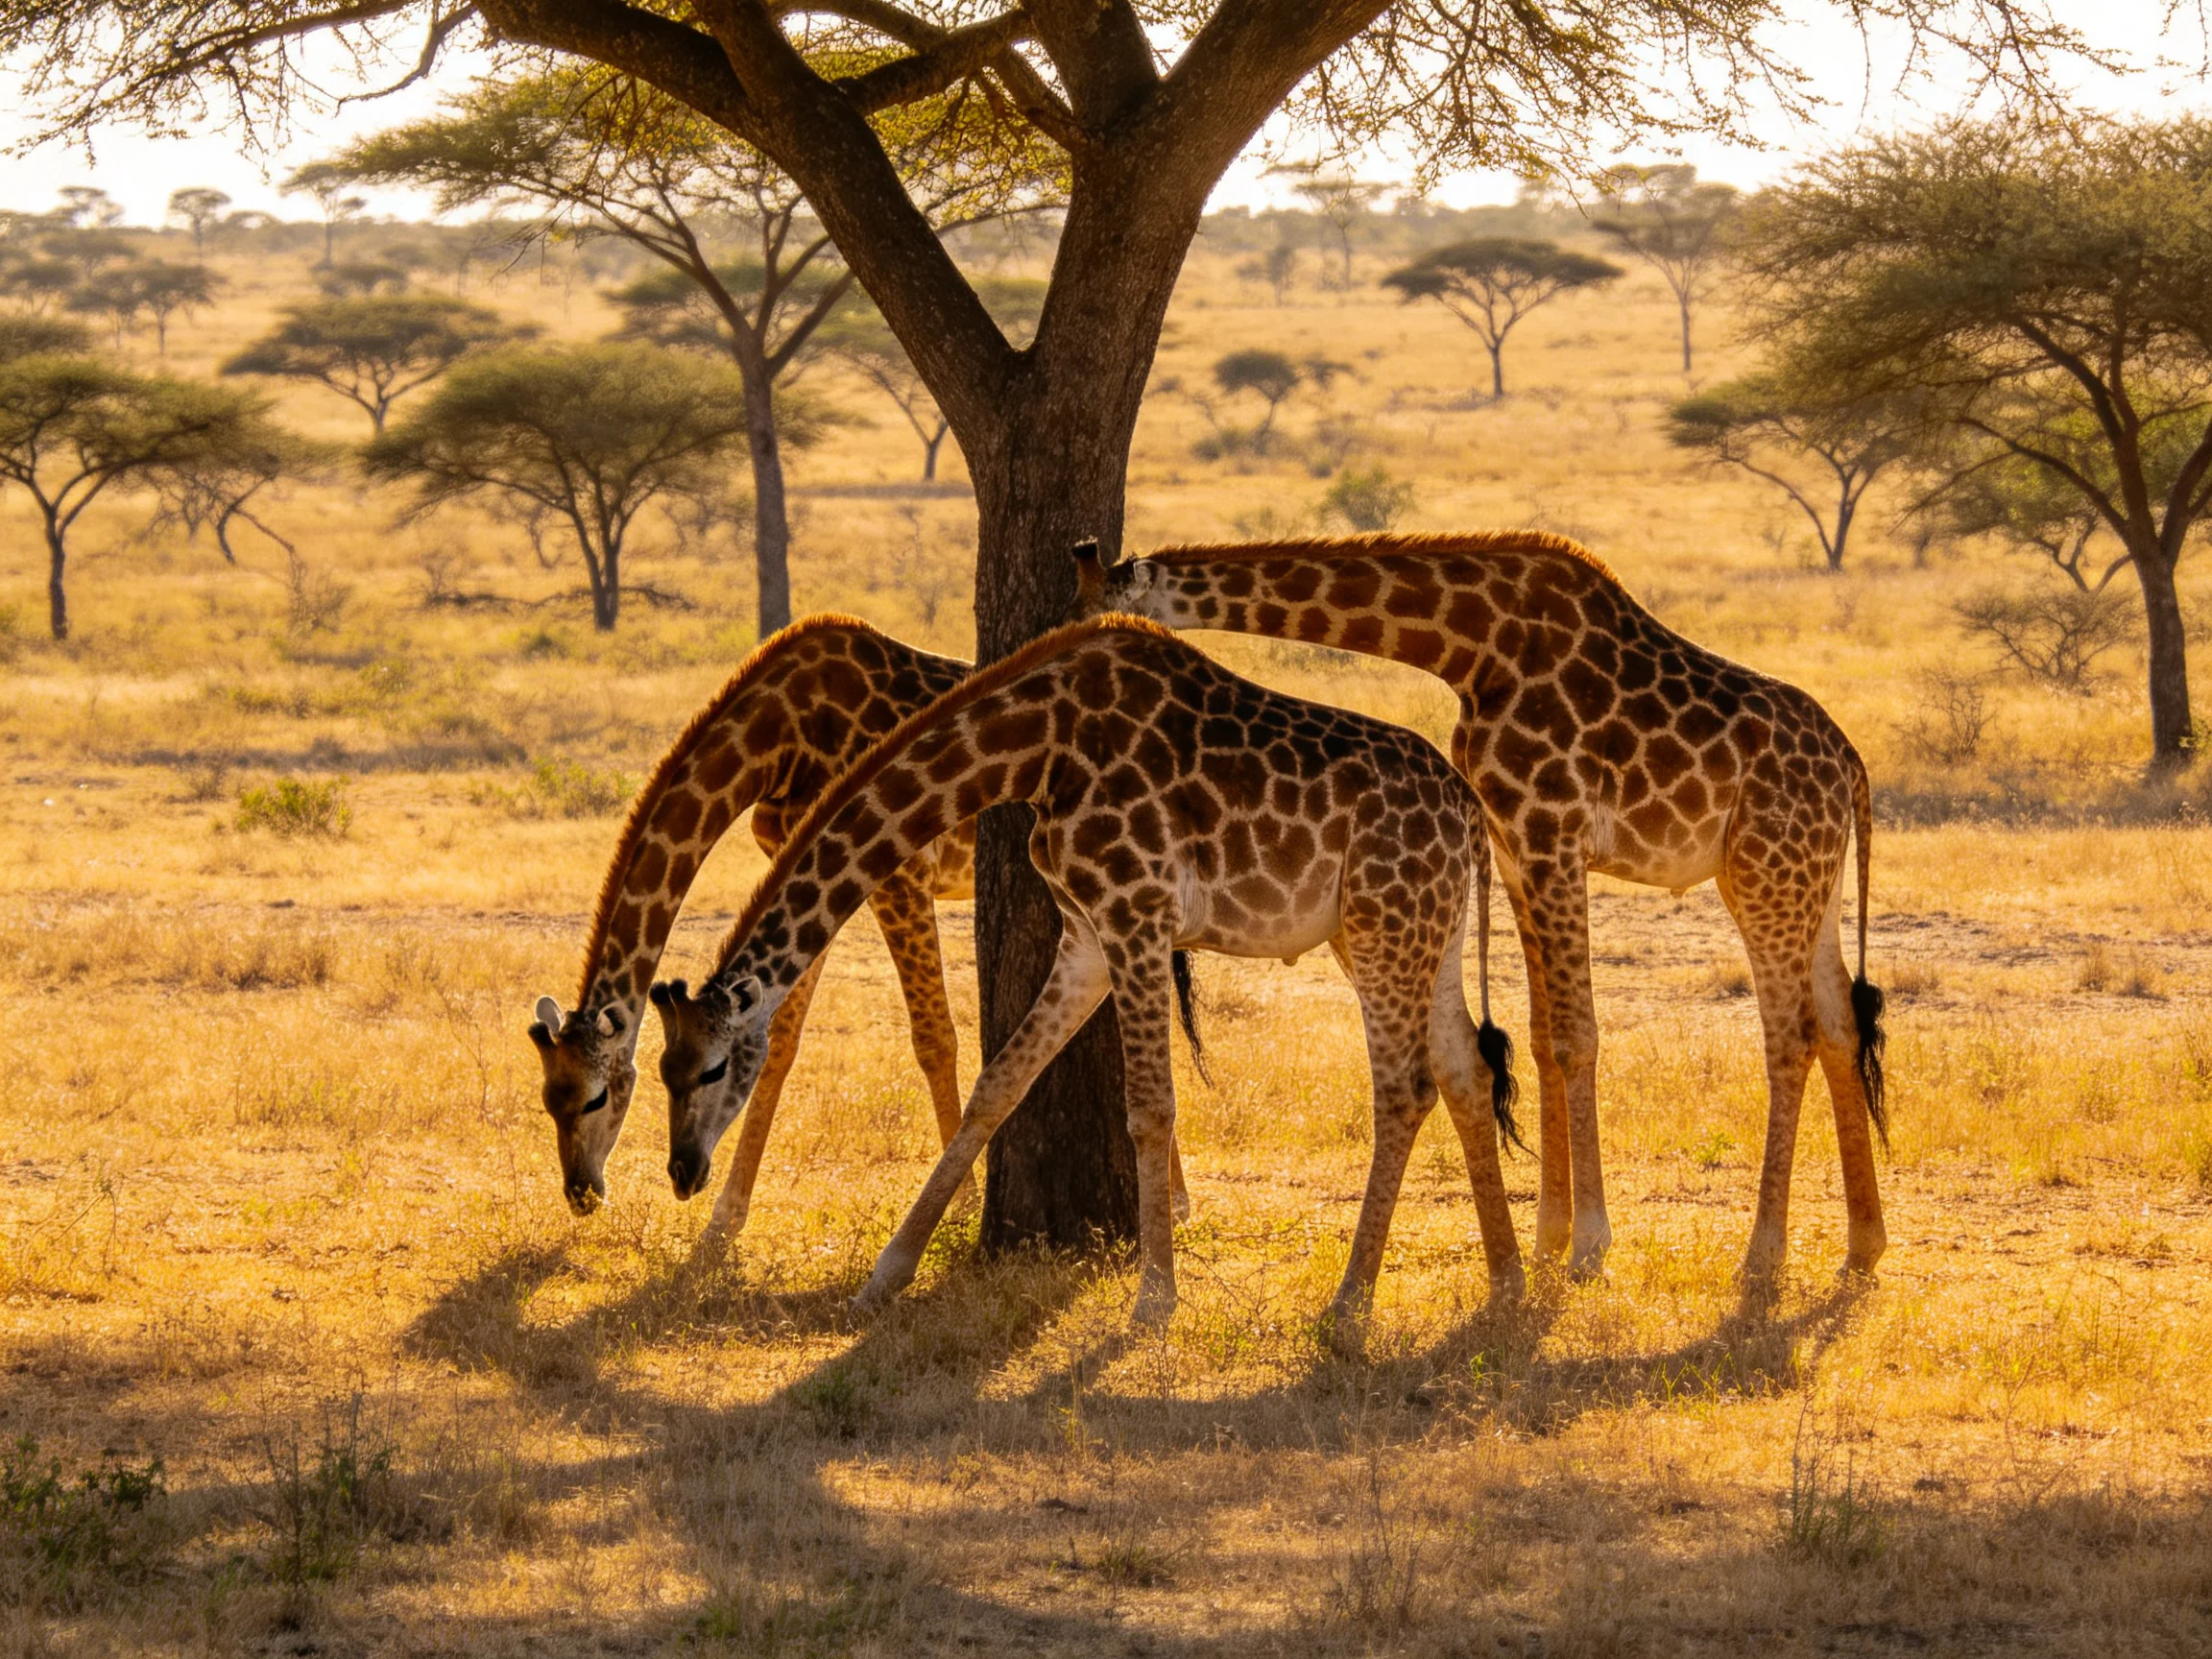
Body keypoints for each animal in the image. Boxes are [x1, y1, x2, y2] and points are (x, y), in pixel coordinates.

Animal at [648, 616, 1524, 1336]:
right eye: (661, 1070)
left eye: (714, 1069)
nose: (682, 1173)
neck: (1036, 747)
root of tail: (1471, 817)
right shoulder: (1087, 934)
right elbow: (998, 1086)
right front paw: (884, 1278)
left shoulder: (1137, 912)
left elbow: (1150, 1108)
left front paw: (1153, 1302)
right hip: (1415, 932)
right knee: (1465, 1071)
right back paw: (1507, 1285)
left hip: (1385, 924)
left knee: (1404, 1088)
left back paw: (1348, 1308)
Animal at [1071, 532, 1887, 1290]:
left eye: (1097, 615)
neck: (1470, 646)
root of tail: (1852, 765)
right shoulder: (1514, 840)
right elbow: (1543, 1036)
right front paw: (1549, 1236)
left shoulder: (1551, 828)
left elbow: (1578, 1037)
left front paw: (1589, 1245)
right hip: (1805, 877)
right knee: (1839, 1022)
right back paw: (1863, 1246)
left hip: (1762, 871)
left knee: (1791, 1034)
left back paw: (1763, 1257)